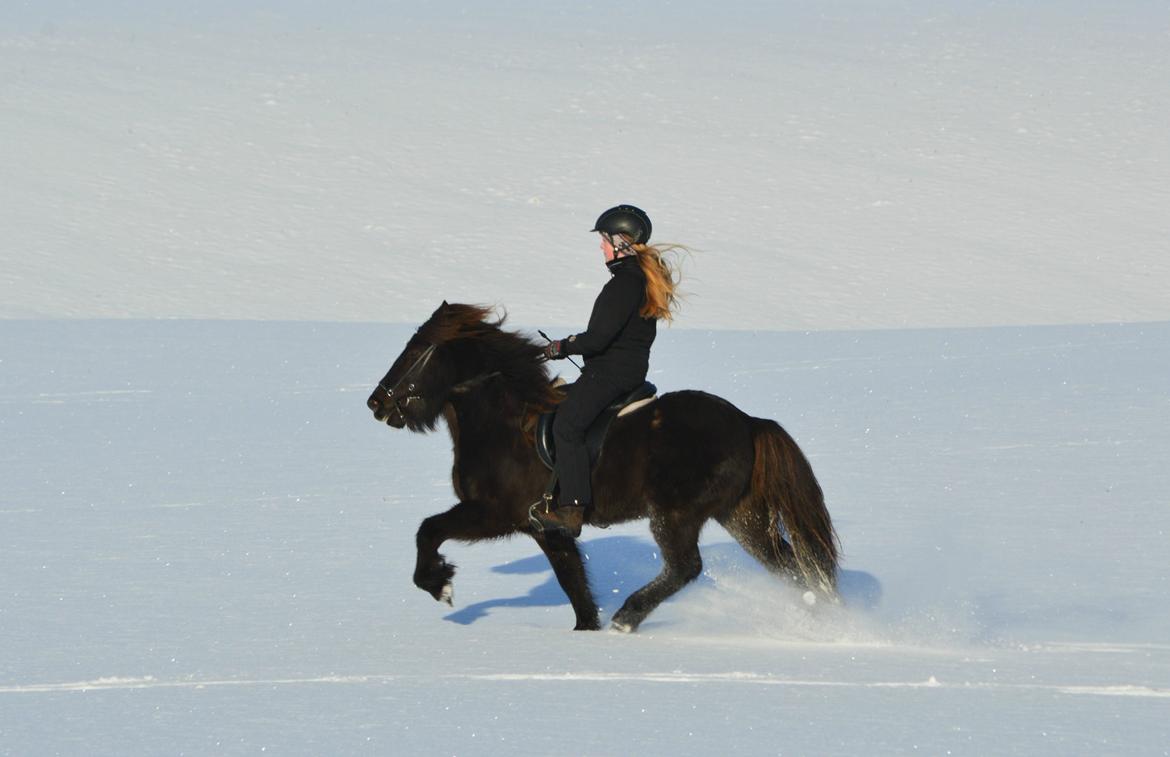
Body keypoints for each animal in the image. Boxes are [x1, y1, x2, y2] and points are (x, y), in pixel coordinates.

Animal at [369, 301, 837, 631]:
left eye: (415, 350)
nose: (376, 403)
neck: (501, 422)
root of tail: (748, 422)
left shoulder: (494, 514)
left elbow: (429, 530)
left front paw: (441, 585)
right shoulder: (547, 529)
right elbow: (574, 585)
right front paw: (585, 633)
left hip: (677, 514)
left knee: (686, 567)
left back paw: (627, 618)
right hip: (740, 515)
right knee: (789, 564)